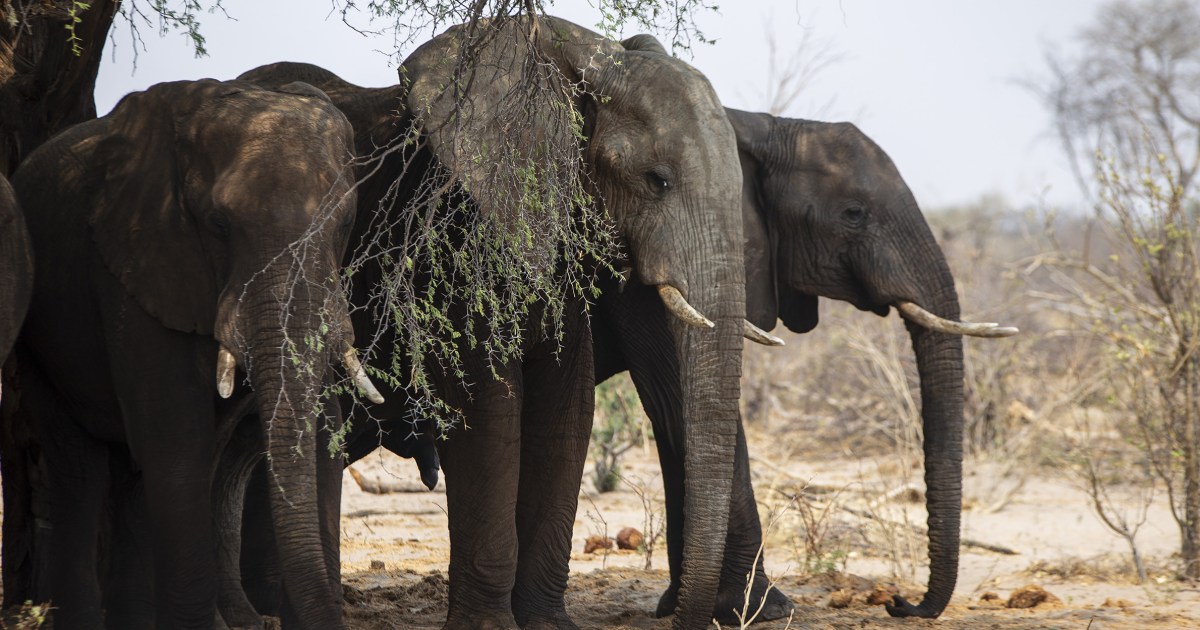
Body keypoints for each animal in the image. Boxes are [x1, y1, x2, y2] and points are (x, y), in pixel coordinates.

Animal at [8, 78, 375, 629]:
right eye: (218, 225)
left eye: (345, 221)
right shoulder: (139, 260)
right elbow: (179, 438)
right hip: (37, 335)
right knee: (83, 471)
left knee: (137, 478)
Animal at [232, 15, 748, 630]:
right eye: (657, 180)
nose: (677, 615)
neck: (580, 57)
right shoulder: (457, 235)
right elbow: (491, 408)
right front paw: (490, 626)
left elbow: (566, 409)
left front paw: (549, 624)